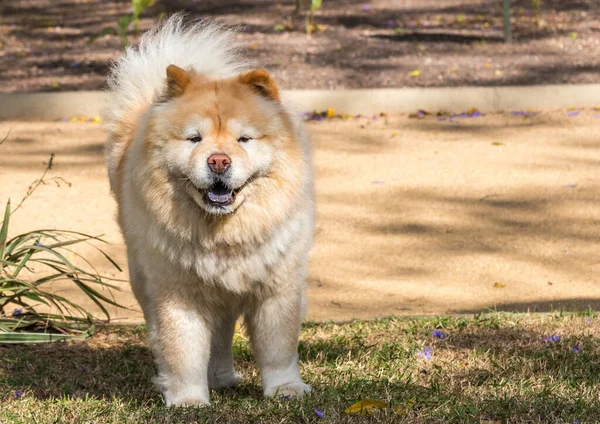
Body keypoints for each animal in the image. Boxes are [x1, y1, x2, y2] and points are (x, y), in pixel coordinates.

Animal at [104, 16, 314, 406]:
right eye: (194, 139)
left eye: (244, 139)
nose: (218, 160)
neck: (225, 233)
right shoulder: (179, 294)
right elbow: (183, 349)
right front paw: (188, 399)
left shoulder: (277, 289)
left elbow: (278, 347)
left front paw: (286, 390)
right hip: (145, 278)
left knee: (220, 336)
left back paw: (221, 377)